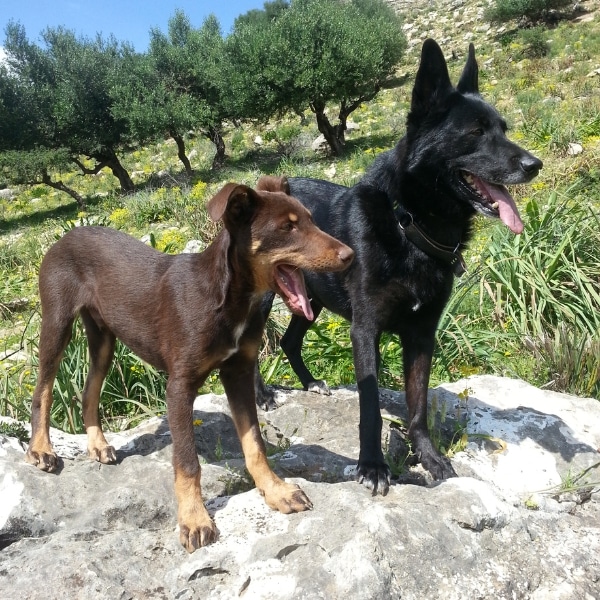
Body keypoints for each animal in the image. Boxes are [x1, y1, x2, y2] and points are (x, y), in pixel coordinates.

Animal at [25, 177, 354, 552]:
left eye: (312, 220)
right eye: (287, 228)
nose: (350, 256)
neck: (228, 298)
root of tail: (66, 235)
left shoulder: (238, 372)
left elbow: (254, 444)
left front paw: (275, 490)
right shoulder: (179, 387)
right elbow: (187, 462)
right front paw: (194, 519)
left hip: (104, 337)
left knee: (89, 390)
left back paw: (97, 444)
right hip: (57, 323)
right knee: (43, 389)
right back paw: (41, 449)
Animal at [258, 39, 544, 494]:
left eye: (504, 128)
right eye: (476, 132)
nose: (534, 165)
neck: (409, 225)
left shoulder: (422, 334)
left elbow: (418, 404)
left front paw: (429, 457)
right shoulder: (365, 329)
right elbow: (371, 407)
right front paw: (373, 465)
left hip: (312, 298)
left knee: (289, 341)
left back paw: (310, 383)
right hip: (262, 296)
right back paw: (263, 394)